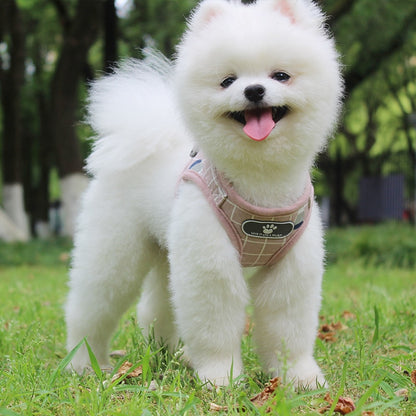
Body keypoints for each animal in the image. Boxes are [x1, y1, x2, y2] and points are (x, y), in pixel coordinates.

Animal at [65, 0, 342, 390]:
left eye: (281, 76)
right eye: (227, 81)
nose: (254, 90)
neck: (261, 184)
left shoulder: (291, 268)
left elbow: (288, 326)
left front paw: (298, 378)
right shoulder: (209, 261)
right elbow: (215, 323)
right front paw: (221, 377)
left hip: (166, 251)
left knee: (155, 307)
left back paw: (166, 356)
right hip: (115, 250)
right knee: (91, 306)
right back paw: (83, 364)